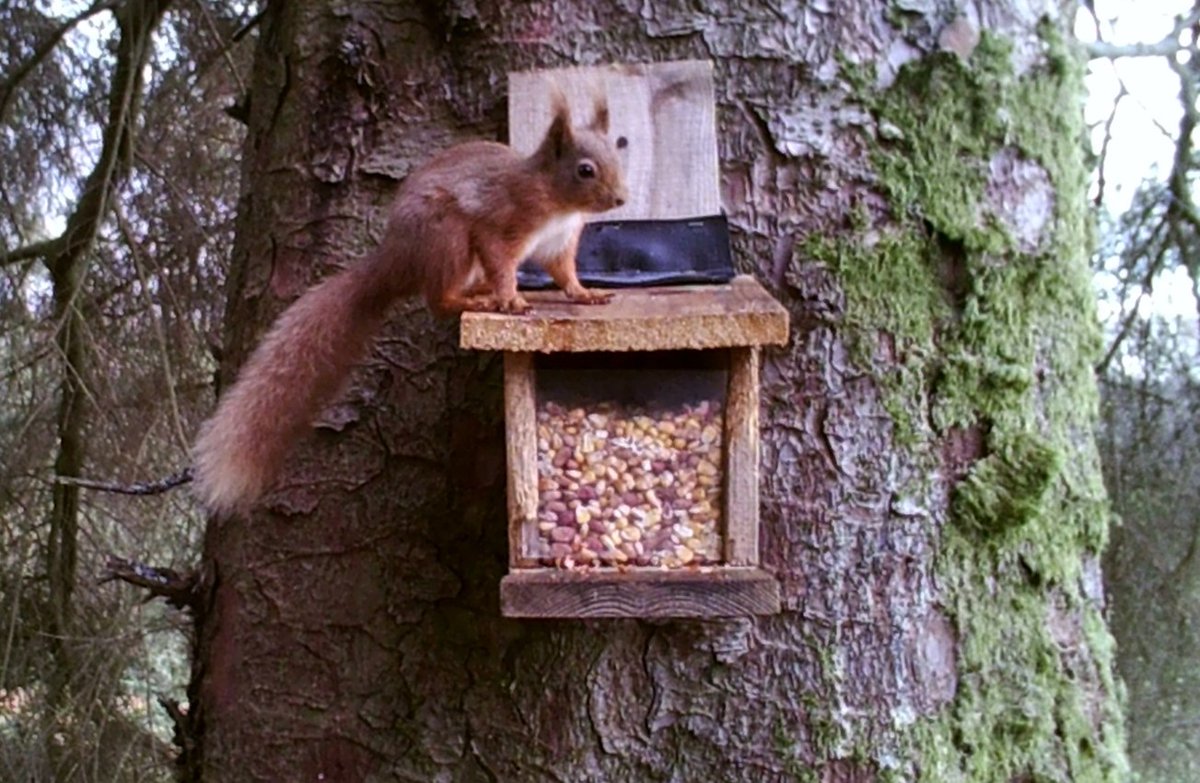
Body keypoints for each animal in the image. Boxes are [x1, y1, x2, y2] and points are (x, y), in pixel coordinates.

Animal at [192, 92, 628, 515]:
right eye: (585, 170)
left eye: (618, 152)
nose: (622, 198)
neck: (558, 203)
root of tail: (394, 262)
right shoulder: (501, 222)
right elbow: (501, 262)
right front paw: (510, 299)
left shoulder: (559, 243)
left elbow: (565, 274)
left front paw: (586, 294)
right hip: (447, 238)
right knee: (438, 299)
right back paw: (477, 298)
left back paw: (478, 293)